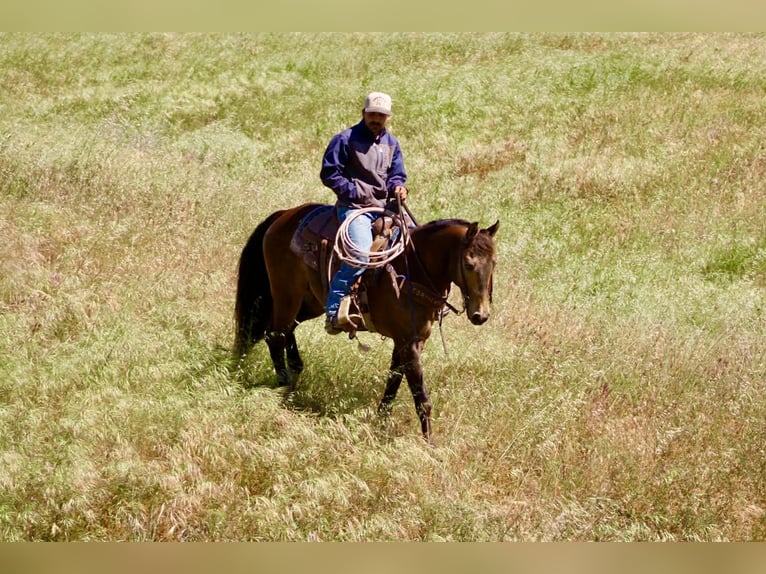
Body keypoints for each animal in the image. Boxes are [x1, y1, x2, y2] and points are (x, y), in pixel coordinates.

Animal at [234, 202, 499, 442]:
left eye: (494, 263)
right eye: (469, 264)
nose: (481, 315)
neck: (412, 268)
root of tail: (284, 215)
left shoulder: (407, 341)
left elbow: (393, 383)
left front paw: (380, 421)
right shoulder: (408, 342)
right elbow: (421, 398)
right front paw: (429, 445)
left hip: (308, 302)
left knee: (285, 331)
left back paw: (293, 378)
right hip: (287, 294)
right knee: (274, 335)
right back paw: (282, 388)